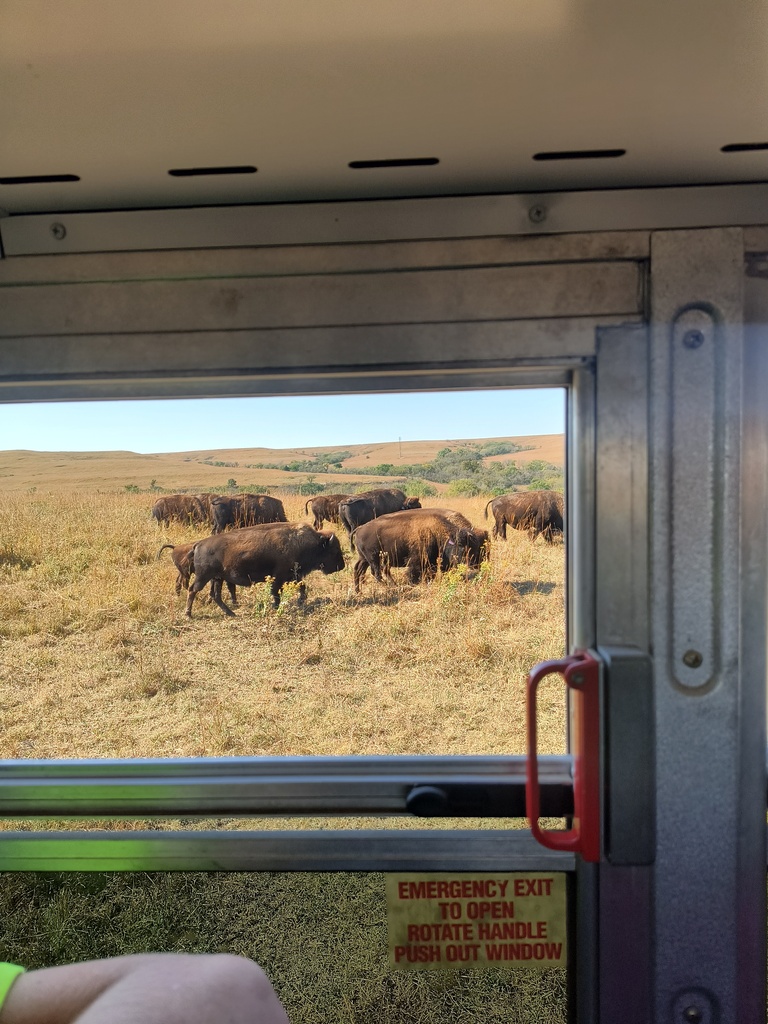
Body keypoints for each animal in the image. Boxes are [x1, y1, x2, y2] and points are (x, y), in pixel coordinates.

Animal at [185, 523, 345, 617]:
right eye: (335, 550)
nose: (342, 566)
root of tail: (198, 544)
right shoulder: (279, 576)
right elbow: (276, 593)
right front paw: (276, 607)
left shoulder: (294, 575)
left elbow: (302, 586)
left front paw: (301, 601)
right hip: (204, 577)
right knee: (193, 590)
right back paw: (188, 614)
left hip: (217, 578)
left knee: (215, 595)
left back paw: (231, 613)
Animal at [352, 508, 489, 593]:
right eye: (461, 545)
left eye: (476, 548)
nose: (474, 567)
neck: (436, 532)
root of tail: (360, 528)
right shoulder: (416, 561)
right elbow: (414, 574)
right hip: (373, 558)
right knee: (376, 572)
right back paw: (388, 587)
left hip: (364, 558)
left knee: (359, 569)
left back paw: (359, 591)